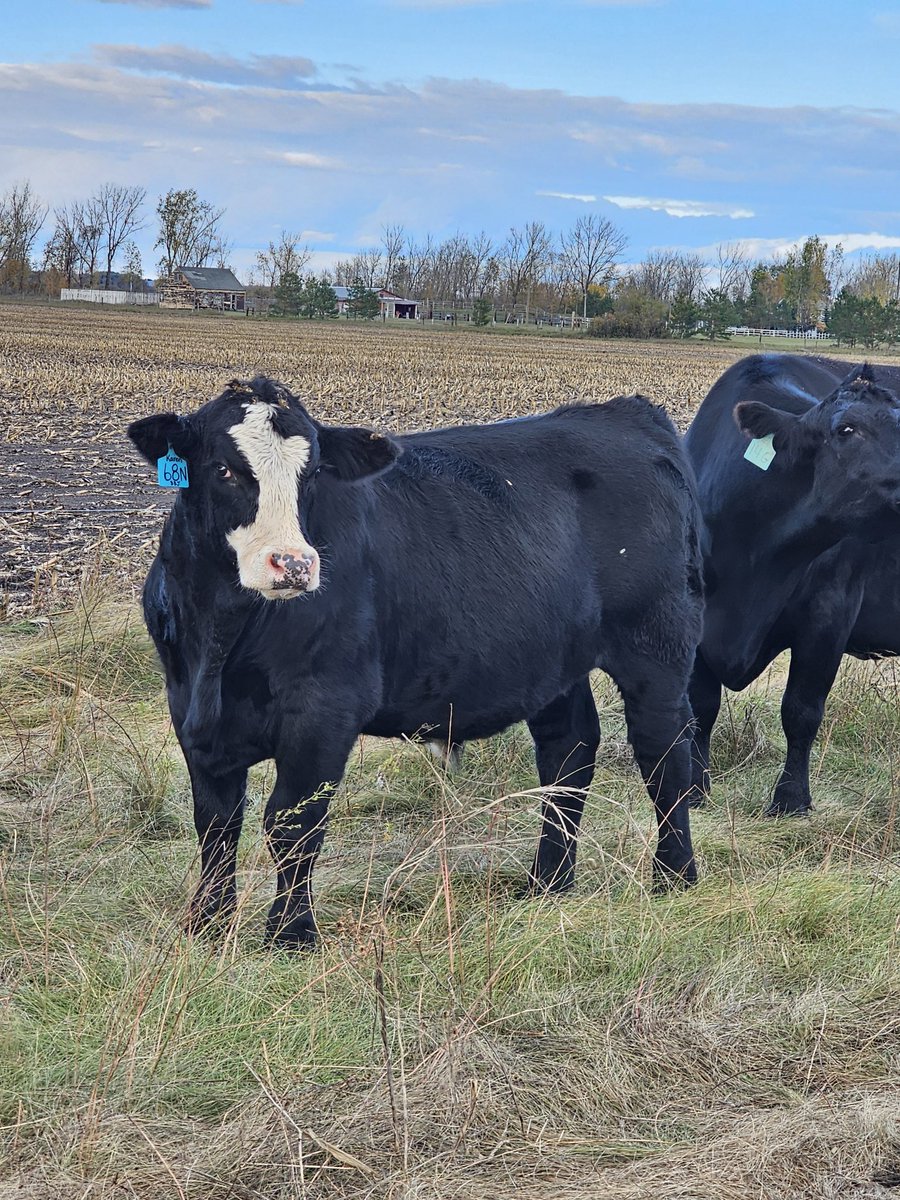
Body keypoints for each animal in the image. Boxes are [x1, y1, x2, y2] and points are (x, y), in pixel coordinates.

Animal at [128, 376, 704, 949]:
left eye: (311, 473)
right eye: (222, 468)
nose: (294, 563)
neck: (219, 645)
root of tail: (627, 413)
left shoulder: (325, 710)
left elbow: (292, 824)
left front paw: (291, 935)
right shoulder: (191, 714)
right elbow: (216, 825)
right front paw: (206, 925)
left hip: (657, 643)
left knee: (663, 752)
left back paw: (674, 875)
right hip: (557, 659)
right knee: (569, 754)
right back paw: (549, 882)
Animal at [685, 354, 900, 816]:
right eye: (846, 429)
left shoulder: (829, 612)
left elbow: (801, 710)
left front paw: (791, 800)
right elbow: (700, 707)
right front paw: (693, 790)